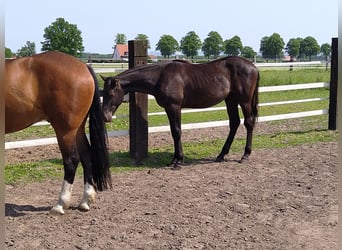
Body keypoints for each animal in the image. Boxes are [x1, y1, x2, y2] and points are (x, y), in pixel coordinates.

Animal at [5, 51, 112, 215]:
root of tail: (84, 67)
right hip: (77, 130)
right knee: (87, 157)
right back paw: (85, 201)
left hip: (65, 131)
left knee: (71, 160)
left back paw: (60, 204)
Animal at [101, 56, 260, 168]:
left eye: (111, 93)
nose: (105, 116)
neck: (160, 76)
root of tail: (253, 67)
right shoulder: (169, 108)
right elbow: (173, 131)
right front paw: (174, 159)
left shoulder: (174, 107)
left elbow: (177, 131)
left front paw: (178, 161)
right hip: (230, 100)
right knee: (234, 123)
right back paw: (221, 155)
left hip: (244, 101)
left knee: (249, 122)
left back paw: (245, 155)